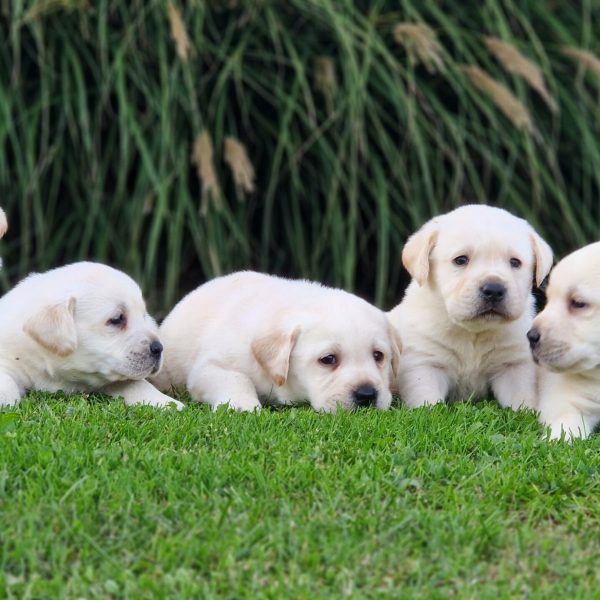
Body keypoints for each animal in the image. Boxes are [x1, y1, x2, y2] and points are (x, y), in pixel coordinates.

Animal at [152, 272, 400, 412]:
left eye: (378, 355)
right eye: (328, 359)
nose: (367, 394)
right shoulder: (210, 367)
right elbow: (236, 378)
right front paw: (242, 405)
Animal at [390, 204, 552, 410]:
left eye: (515, 262)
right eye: (461, 260)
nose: (494, 290)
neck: (473, 333)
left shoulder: (514, 365)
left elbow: (522, 400)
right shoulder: (424, 364)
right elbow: (428, 404)